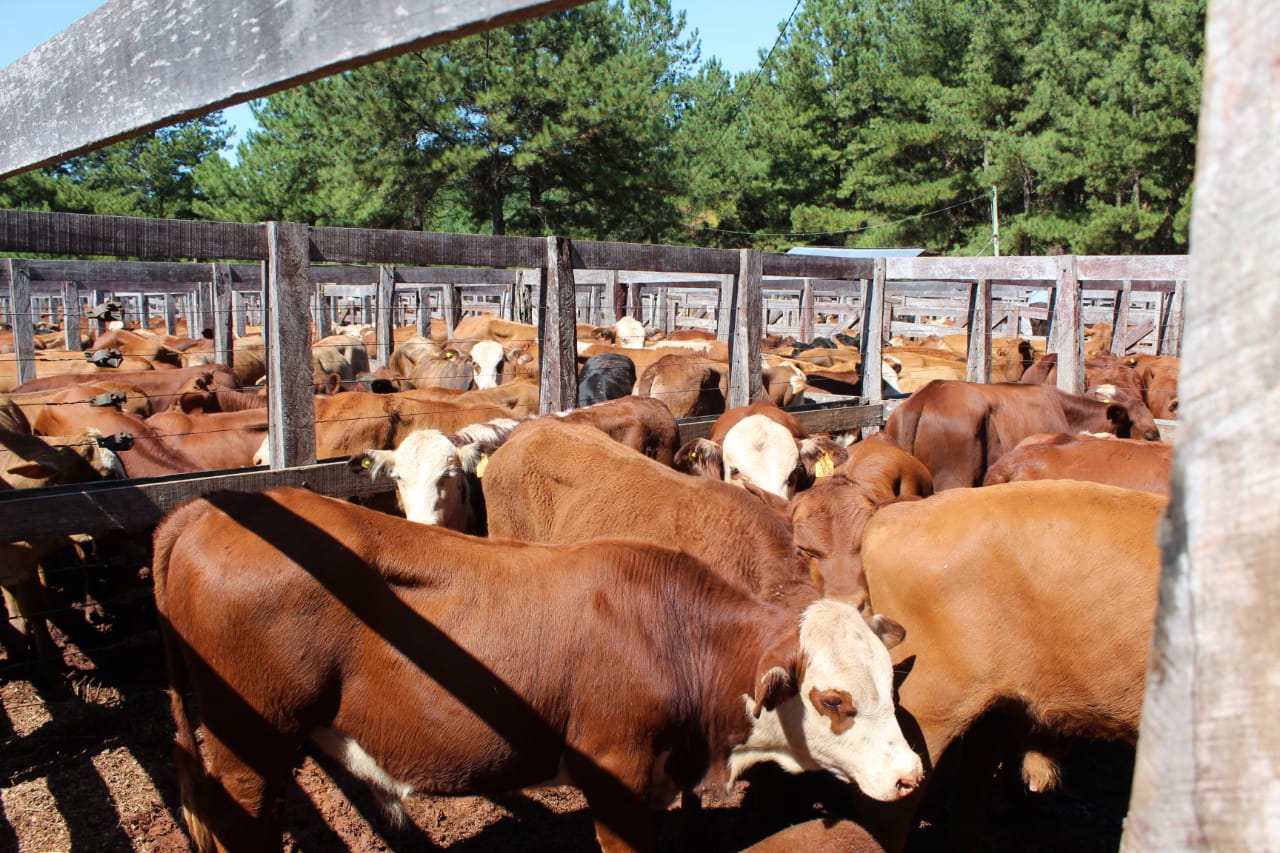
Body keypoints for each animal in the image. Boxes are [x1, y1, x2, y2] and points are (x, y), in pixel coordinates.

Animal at [154, 484, 926, 850]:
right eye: (834, 700)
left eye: (889, 685)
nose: (910, 776)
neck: (676, 632)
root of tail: (209, 508)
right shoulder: (616, 778)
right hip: (249, 747)